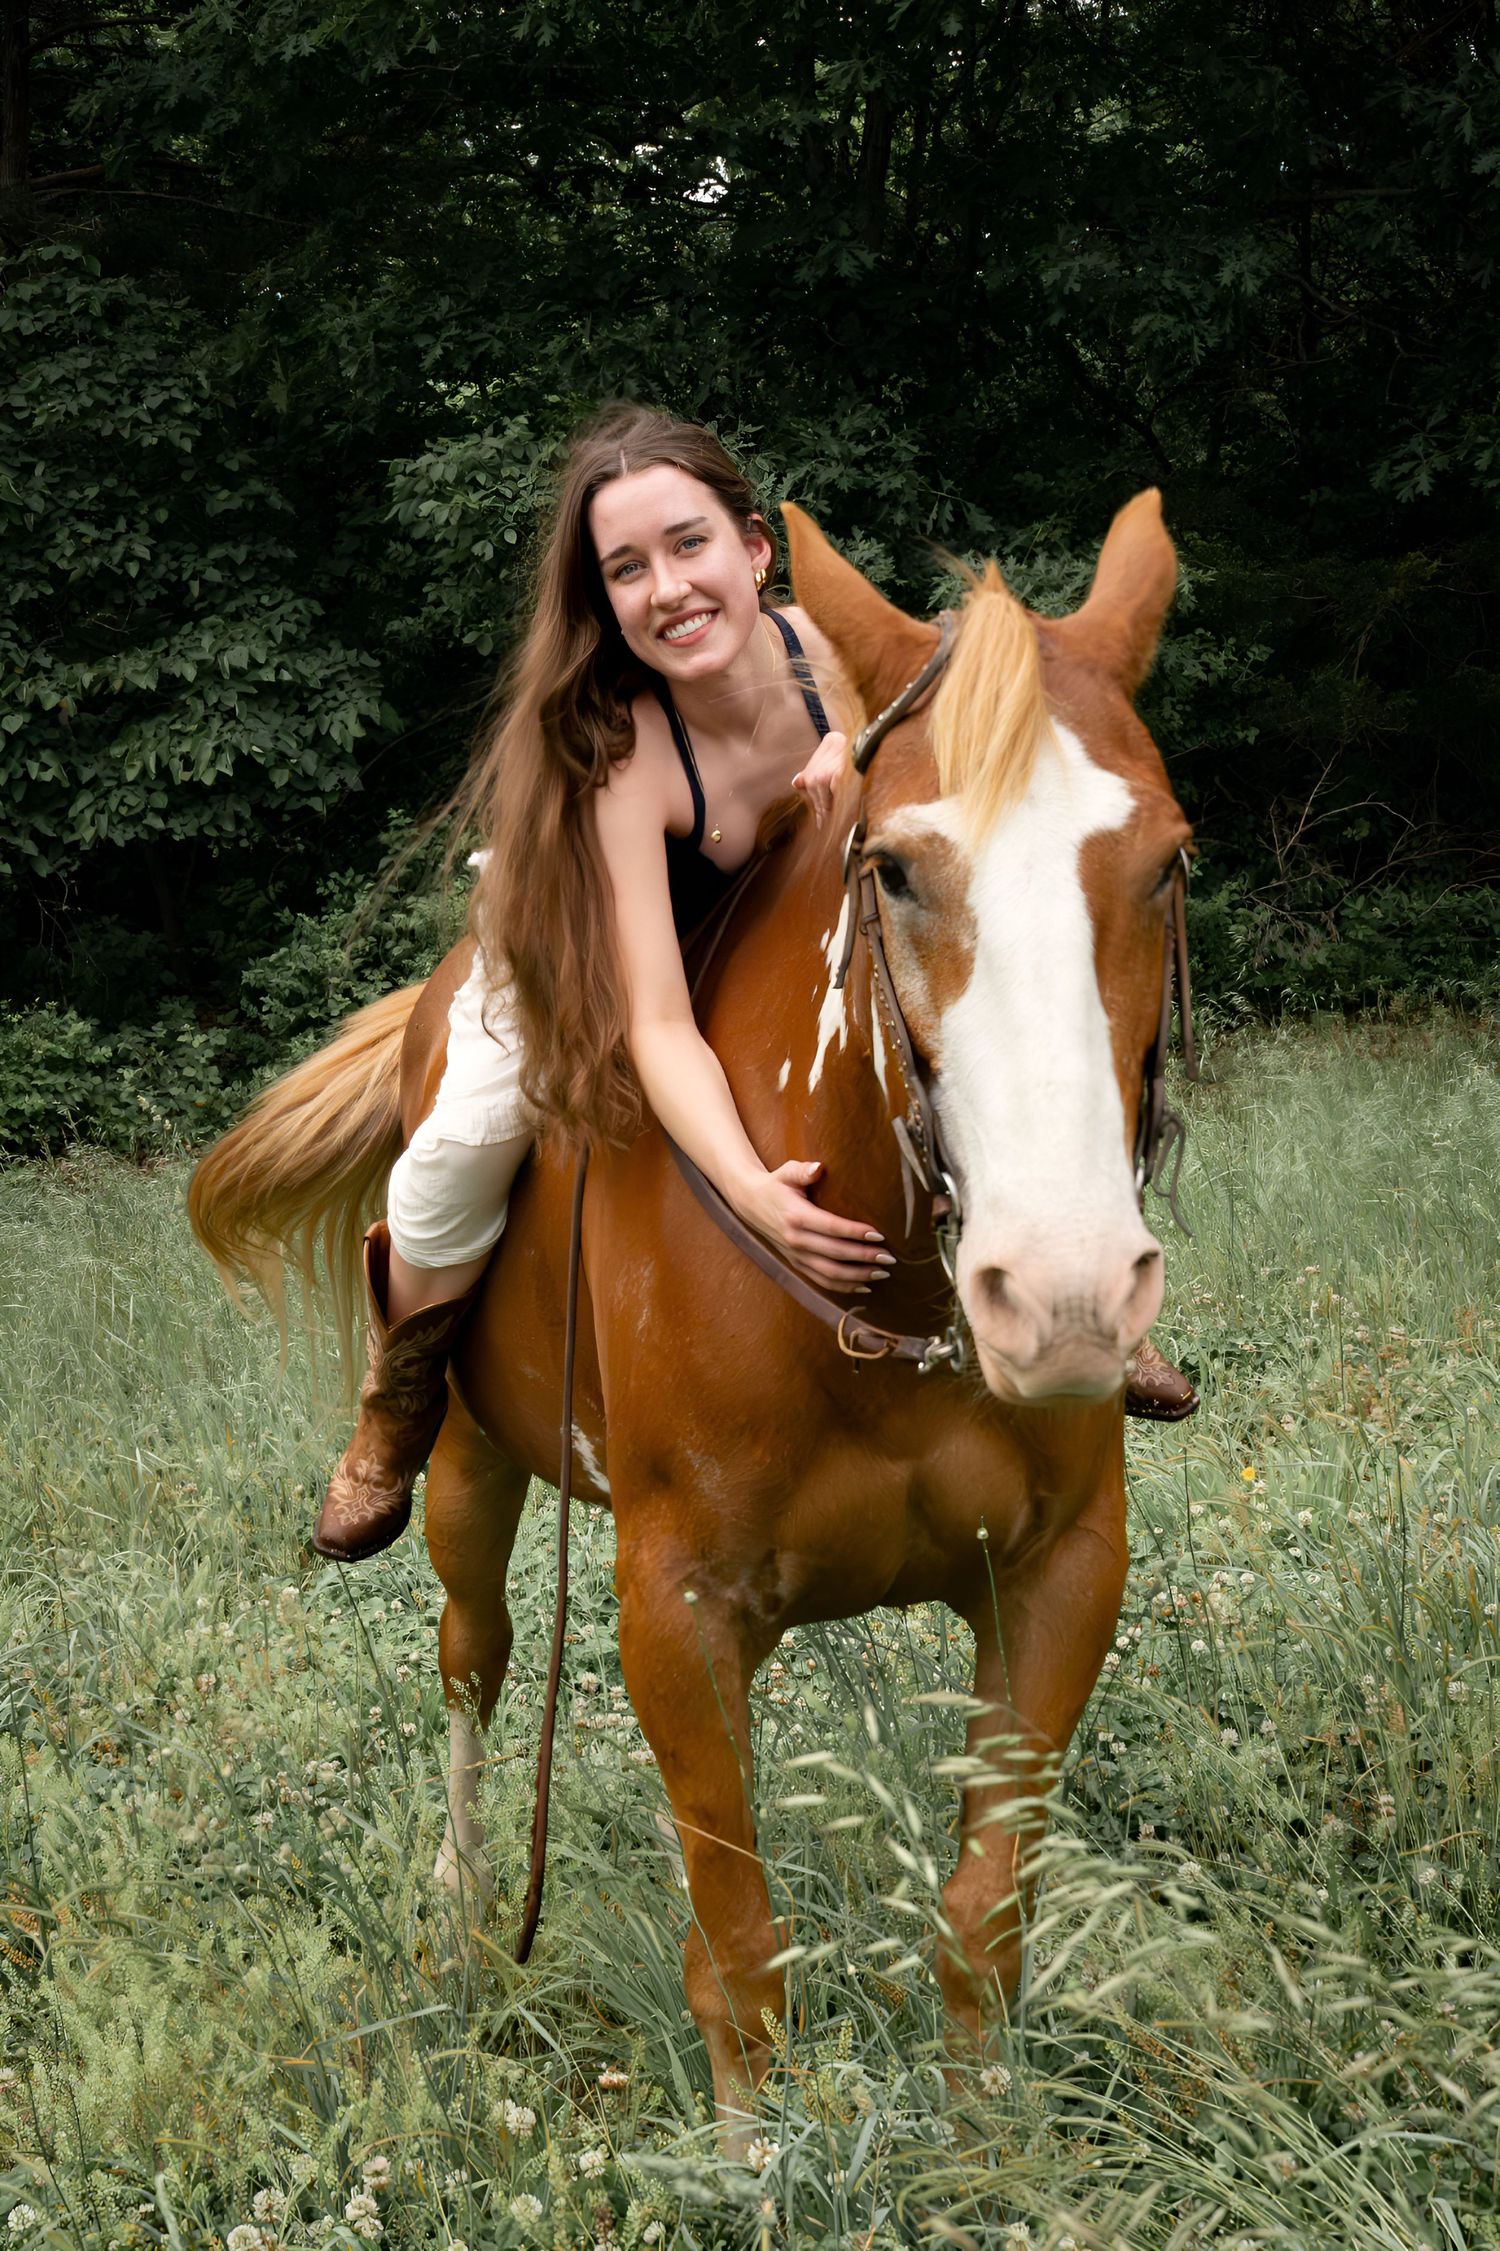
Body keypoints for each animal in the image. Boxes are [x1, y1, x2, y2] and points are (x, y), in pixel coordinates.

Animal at [189, 490, 1192, 2131]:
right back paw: (463, 1909)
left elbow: (982, 1912)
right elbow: (740, 1935)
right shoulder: (672, 1602)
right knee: (472, 1658)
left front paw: (989, 2142)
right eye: (894, 867)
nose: (1063, 1298)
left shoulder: (1059, 1574)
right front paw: (752, 2151)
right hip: (470, 1467)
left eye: (1164, 862)